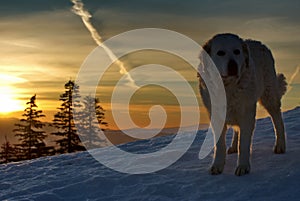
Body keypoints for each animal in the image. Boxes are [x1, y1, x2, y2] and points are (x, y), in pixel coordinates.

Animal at [198, 33, 288, 177]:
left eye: (237, 51)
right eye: (220, 53)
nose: (233, 65)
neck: (227, 87)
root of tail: (258, 43)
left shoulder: (247, 114)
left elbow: (244, 144)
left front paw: (243, 166)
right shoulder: (216, 116)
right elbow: (220, 145)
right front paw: (217, 165)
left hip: (269, 97)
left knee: (278, 120)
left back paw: (280, 145)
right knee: (237, 130)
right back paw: (234, 147)